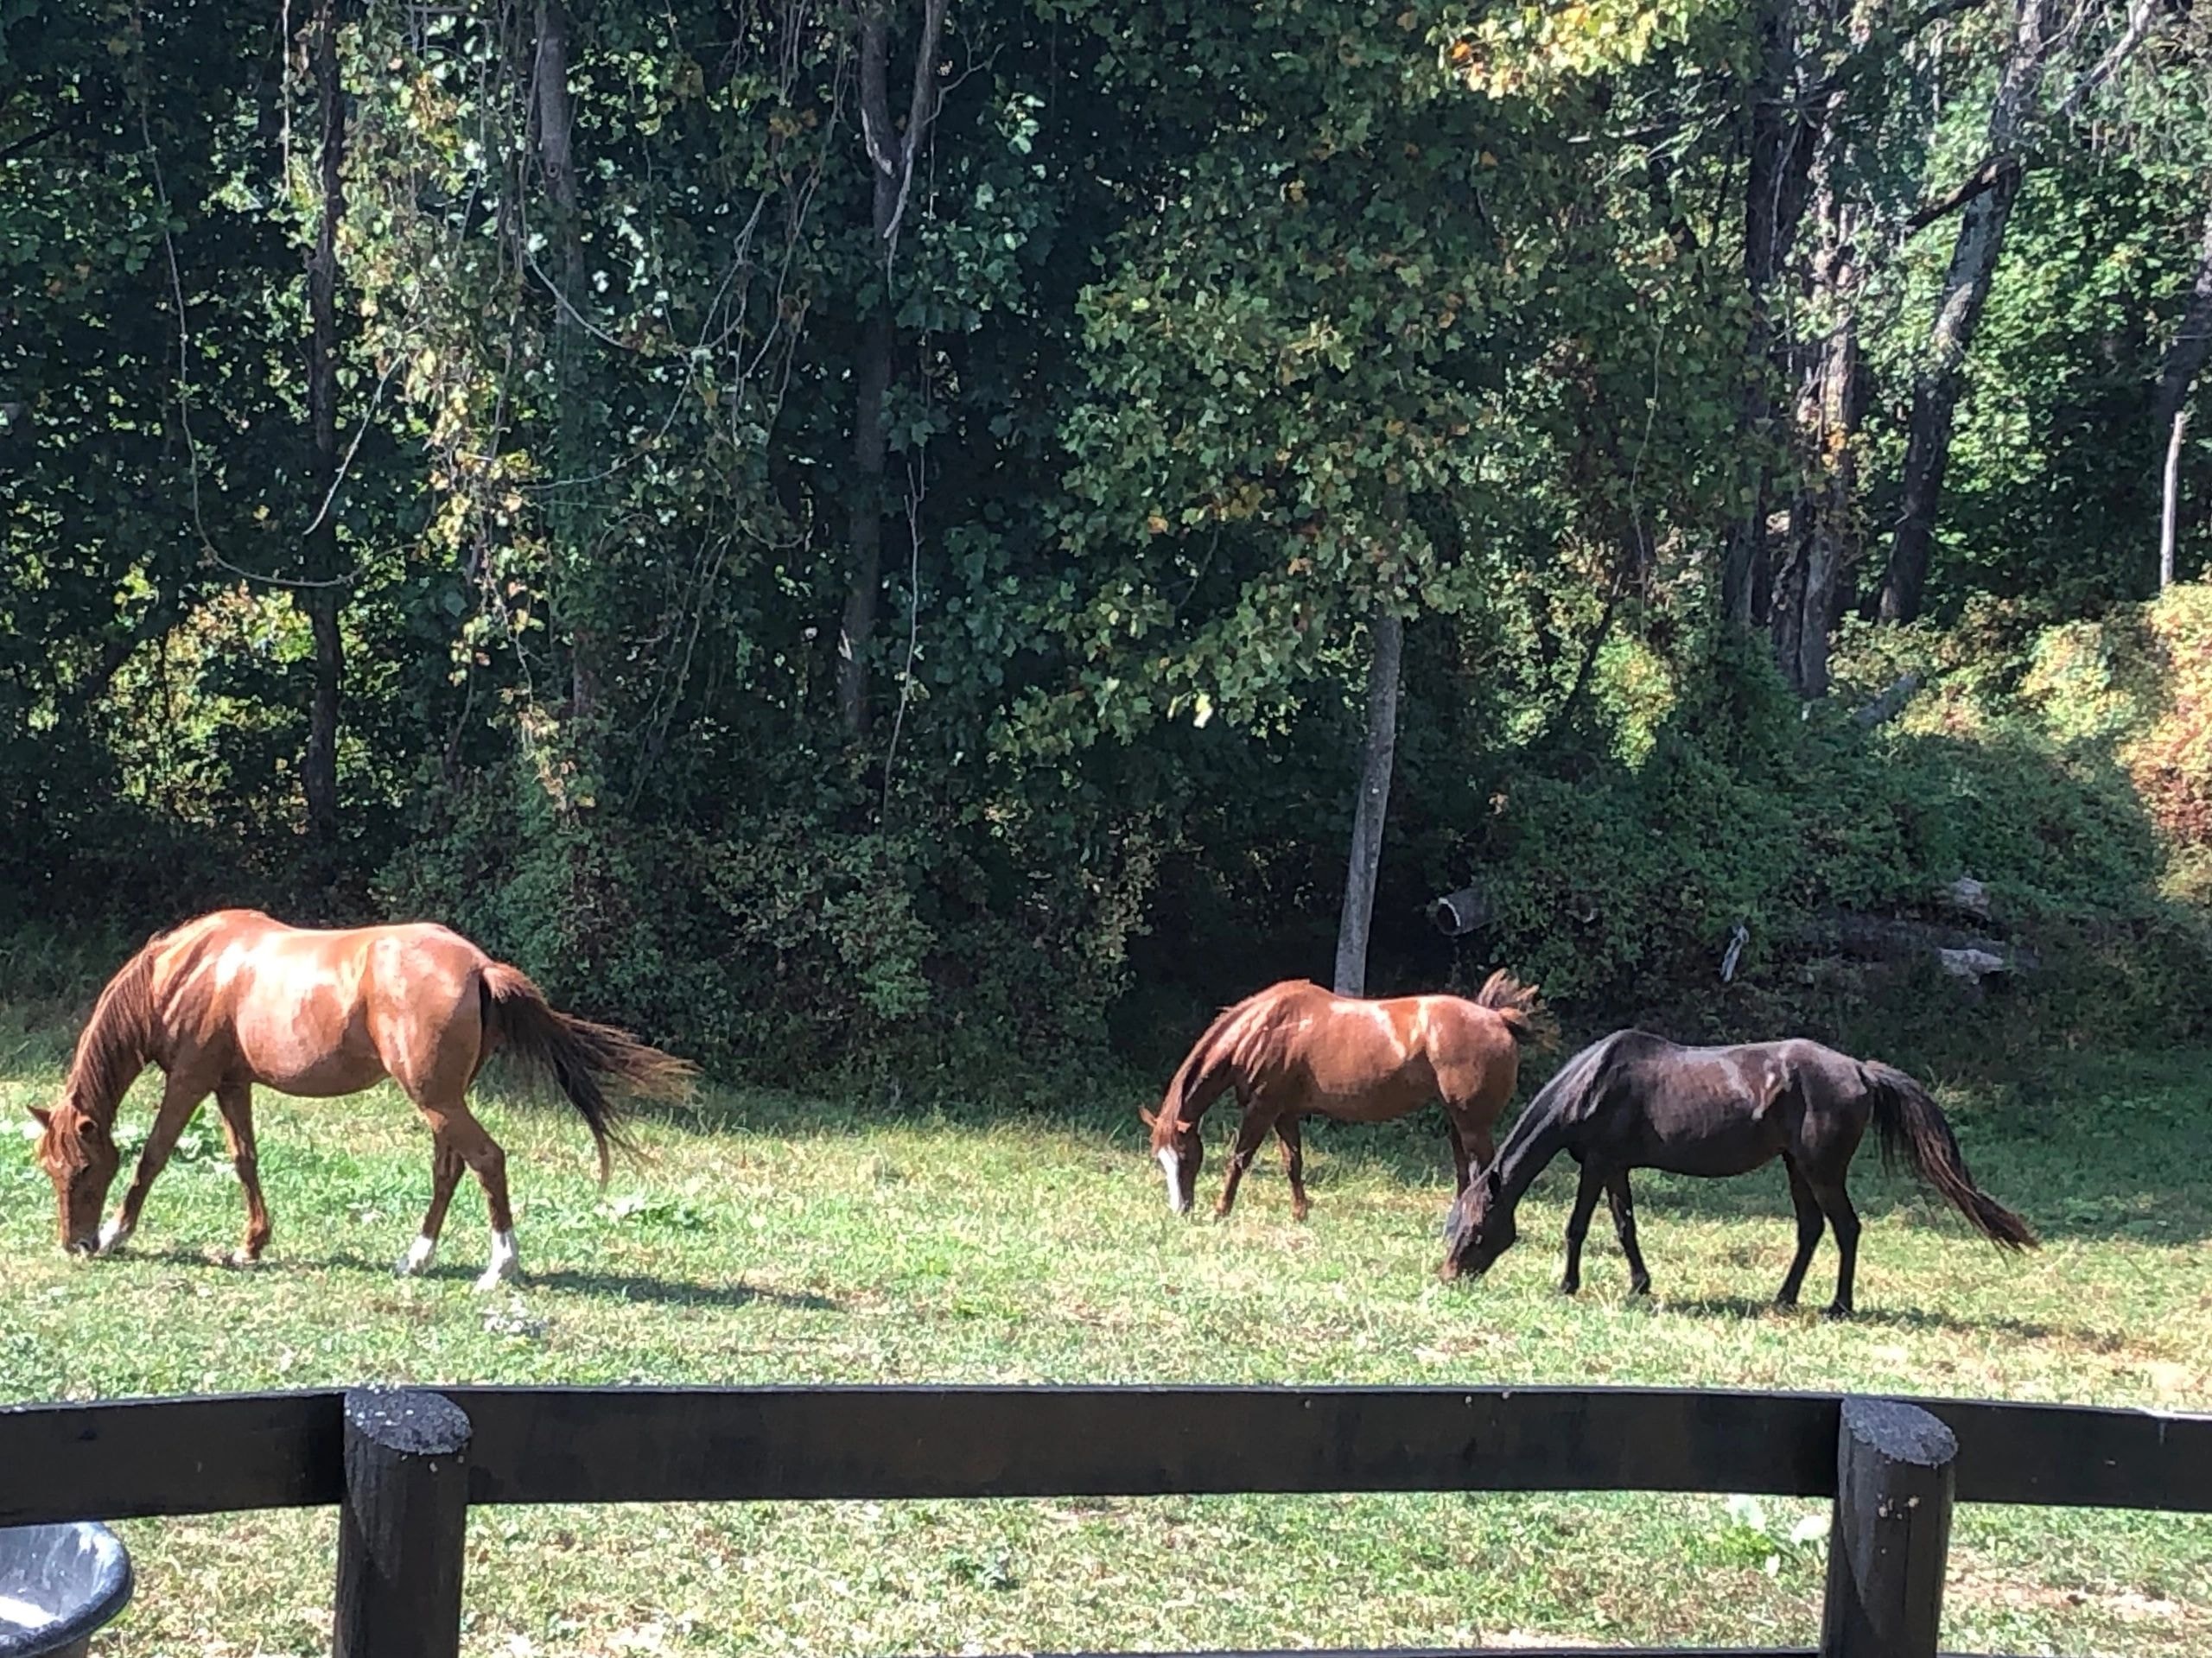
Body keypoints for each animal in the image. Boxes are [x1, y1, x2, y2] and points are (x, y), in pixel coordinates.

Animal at [27, 908, 694, 1290]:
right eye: (48, 1168)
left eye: (83, 1169)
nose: (74, 1243)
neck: (189, 969)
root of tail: (479, 966)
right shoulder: (231, 1083)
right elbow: (245, 1160)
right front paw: (251, 1245)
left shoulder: (189, 1081)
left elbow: (154, 1156)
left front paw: (117, 1234)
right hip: (442, 1098)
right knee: (450, 1167)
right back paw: (416, 1258)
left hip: (435, 1098)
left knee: (486, 1159)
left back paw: (498, 1266)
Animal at [1141, 971, 1550, 1220]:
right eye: (1159, 1159)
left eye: (1185, 1156)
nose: (1180, 1209)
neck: (1264, 1028)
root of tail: (1498, 1019)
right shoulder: (1284, 1113)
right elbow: (1293, 1163)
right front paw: (1301, 1212)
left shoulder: (1262, 1108)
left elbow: (1239, 1160)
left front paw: (1221, 1209)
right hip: (1458, 1120)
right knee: (1466, 1168)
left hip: (1472, 1123)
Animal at [1438, 1029, 2036, 1317]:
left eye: (1476, 1229)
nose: (1448, 1278)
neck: (1593, 1084)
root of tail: (1860, 1071)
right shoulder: (1615, 1168)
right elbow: (1625, 1227)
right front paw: (1639, 1285)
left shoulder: (1601, 1165)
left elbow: (1579, 1227)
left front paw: (1568, 1285)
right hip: (1797, 1167)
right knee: (1811, 1230)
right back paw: (1785, 1297)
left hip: (1821, 1170)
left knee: (1845, 1228)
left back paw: (1839, 1307)